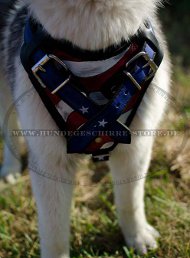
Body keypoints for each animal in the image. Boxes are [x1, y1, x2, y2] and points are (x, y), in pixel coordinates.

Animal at [0, 0, 171, 256]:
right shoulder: (50, 160)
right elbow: (54, 231)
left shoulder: (136, 146)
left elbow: (130, 199)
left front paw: (137, 236)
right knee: (9, 126)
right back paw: (10, 169)